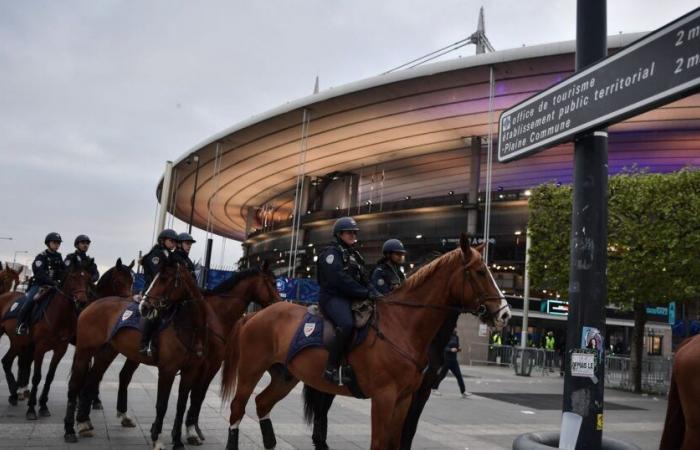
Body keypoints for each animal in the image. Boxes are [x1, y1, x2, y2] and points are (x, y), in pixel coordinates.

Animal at [0, 258, 92, 420]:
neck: (59, 315)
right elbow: (37, 377)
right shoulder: (40, 348)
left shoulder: (60, 350)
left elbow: (49, 377)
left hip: (19, 343)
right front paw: (31, 408)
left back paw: (13, 394)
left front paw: (43, 405)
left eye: (87, 279)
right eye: (73, 277)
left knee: (6, 361)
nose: (82, 301)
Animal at [221, 237, 512, 448]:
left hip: (285, 375)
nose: (505, 314)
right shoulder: (384, 397)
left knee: (262, 403)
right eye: (480, 272)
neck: (402, 325)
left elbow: (398, 440)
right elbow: (380, 443)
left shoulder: (405, 397)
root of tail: (255, 314)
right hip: (251, 370)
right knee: (238, 408)